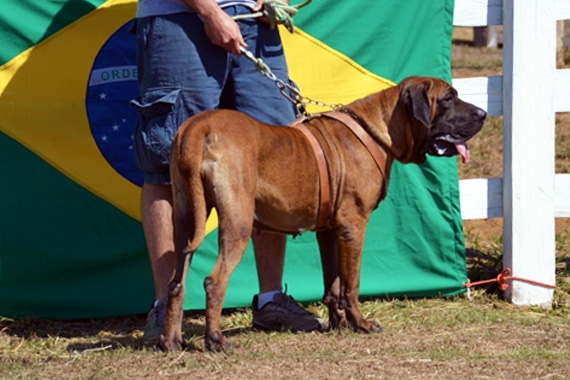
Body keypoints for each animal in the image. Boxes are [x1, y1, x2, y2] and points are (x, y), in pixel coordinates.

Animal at [159, 75, 484, 352]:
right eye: (448, 98)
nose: (482, 113)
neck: (378, 127)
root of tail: (197, 127)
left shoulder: (330, 231)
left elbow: (334, 283)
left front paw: (339, 324)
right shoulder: (353, 226)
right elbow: (352, 283)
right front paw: (361, 324)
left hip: (186, 220)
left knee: (176, 283)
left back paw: (172, 341)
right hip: (237, 223)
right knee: (214, 282)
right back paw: (216, 340)